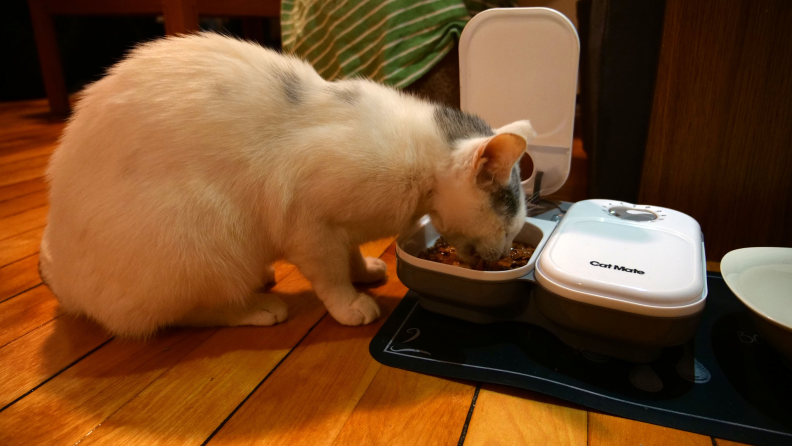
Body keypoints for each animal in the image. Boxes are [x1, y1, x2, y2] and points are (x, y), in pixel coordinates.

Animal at [35, 33, 532, 336]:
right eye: (509, 224)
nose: (506, 253)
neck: (421, 171)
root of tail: (61, 276)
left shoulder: (339, 227)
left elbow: (349, 253)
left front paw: (365, 270)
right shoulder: (308, 223)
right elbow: (330, 273)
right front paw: (350, 304)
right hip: (205, 233)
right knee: (185, 313)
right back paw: (258, 306)